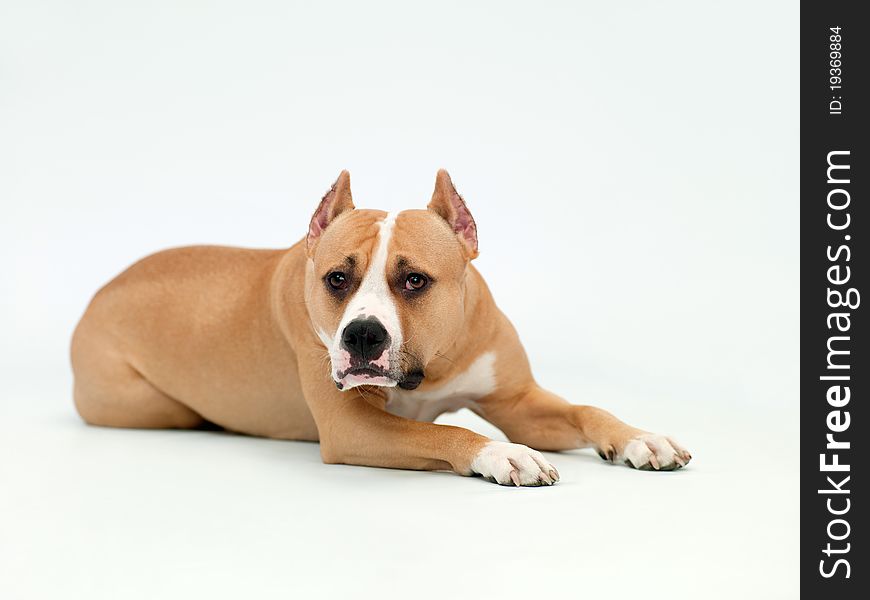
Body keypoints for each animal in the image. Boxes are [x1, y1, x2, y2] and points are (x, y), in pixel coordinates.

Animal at [71, 170, 692, 488]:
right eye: (336, 278)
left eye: (415, 280)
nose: (362, 337)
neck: (431, 365)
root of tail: (101, 290)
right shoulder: (352, 427)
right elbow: (446, 433)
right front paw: (501, 453)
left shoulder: (519, 402)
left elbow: (586, 409)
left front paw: (640, 436)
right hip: (148, 404)